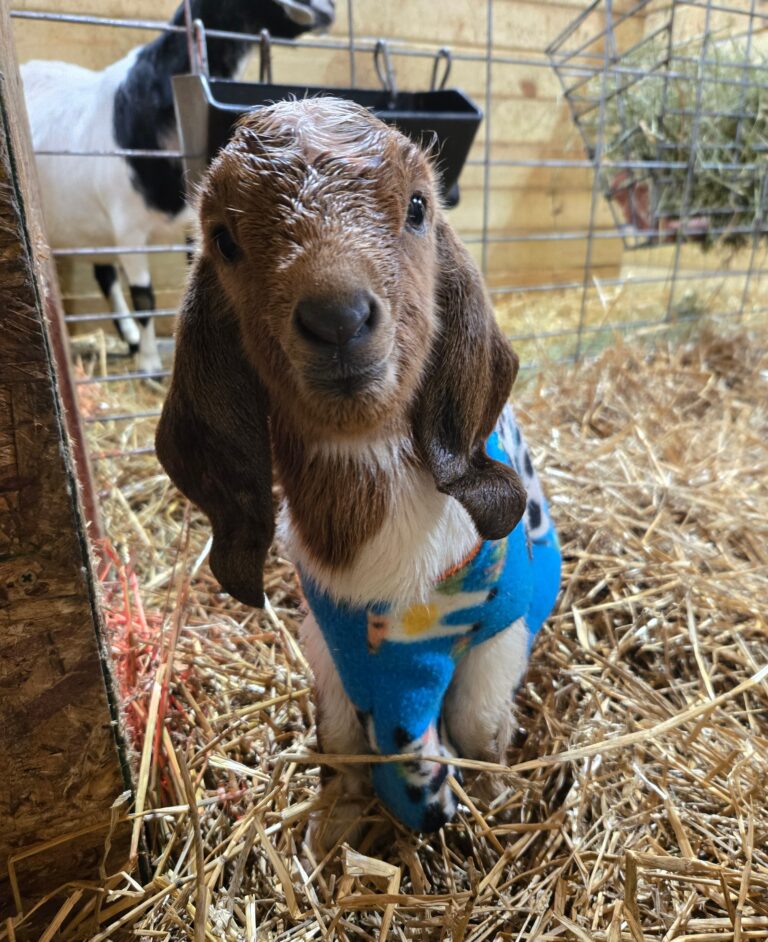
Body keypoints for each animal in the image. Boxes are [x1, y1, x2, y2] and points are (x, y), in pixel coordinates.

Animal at [22, 0, 335, 374]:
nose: (329, 10)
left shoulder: (191, 224)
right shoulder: (128, 229)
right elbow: (144, 297)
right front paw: (149, 364)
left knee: (104, 274)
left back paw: (129, 338)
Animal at [156, 98, 562, 848]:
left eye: (418, 206)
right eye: (223, 238)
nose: (337, 318)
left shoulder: (501, 631)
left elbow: (479, 727)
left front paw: (495, 800)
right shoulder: (329, 645)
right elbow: (342, 743)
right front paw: (335, 827)